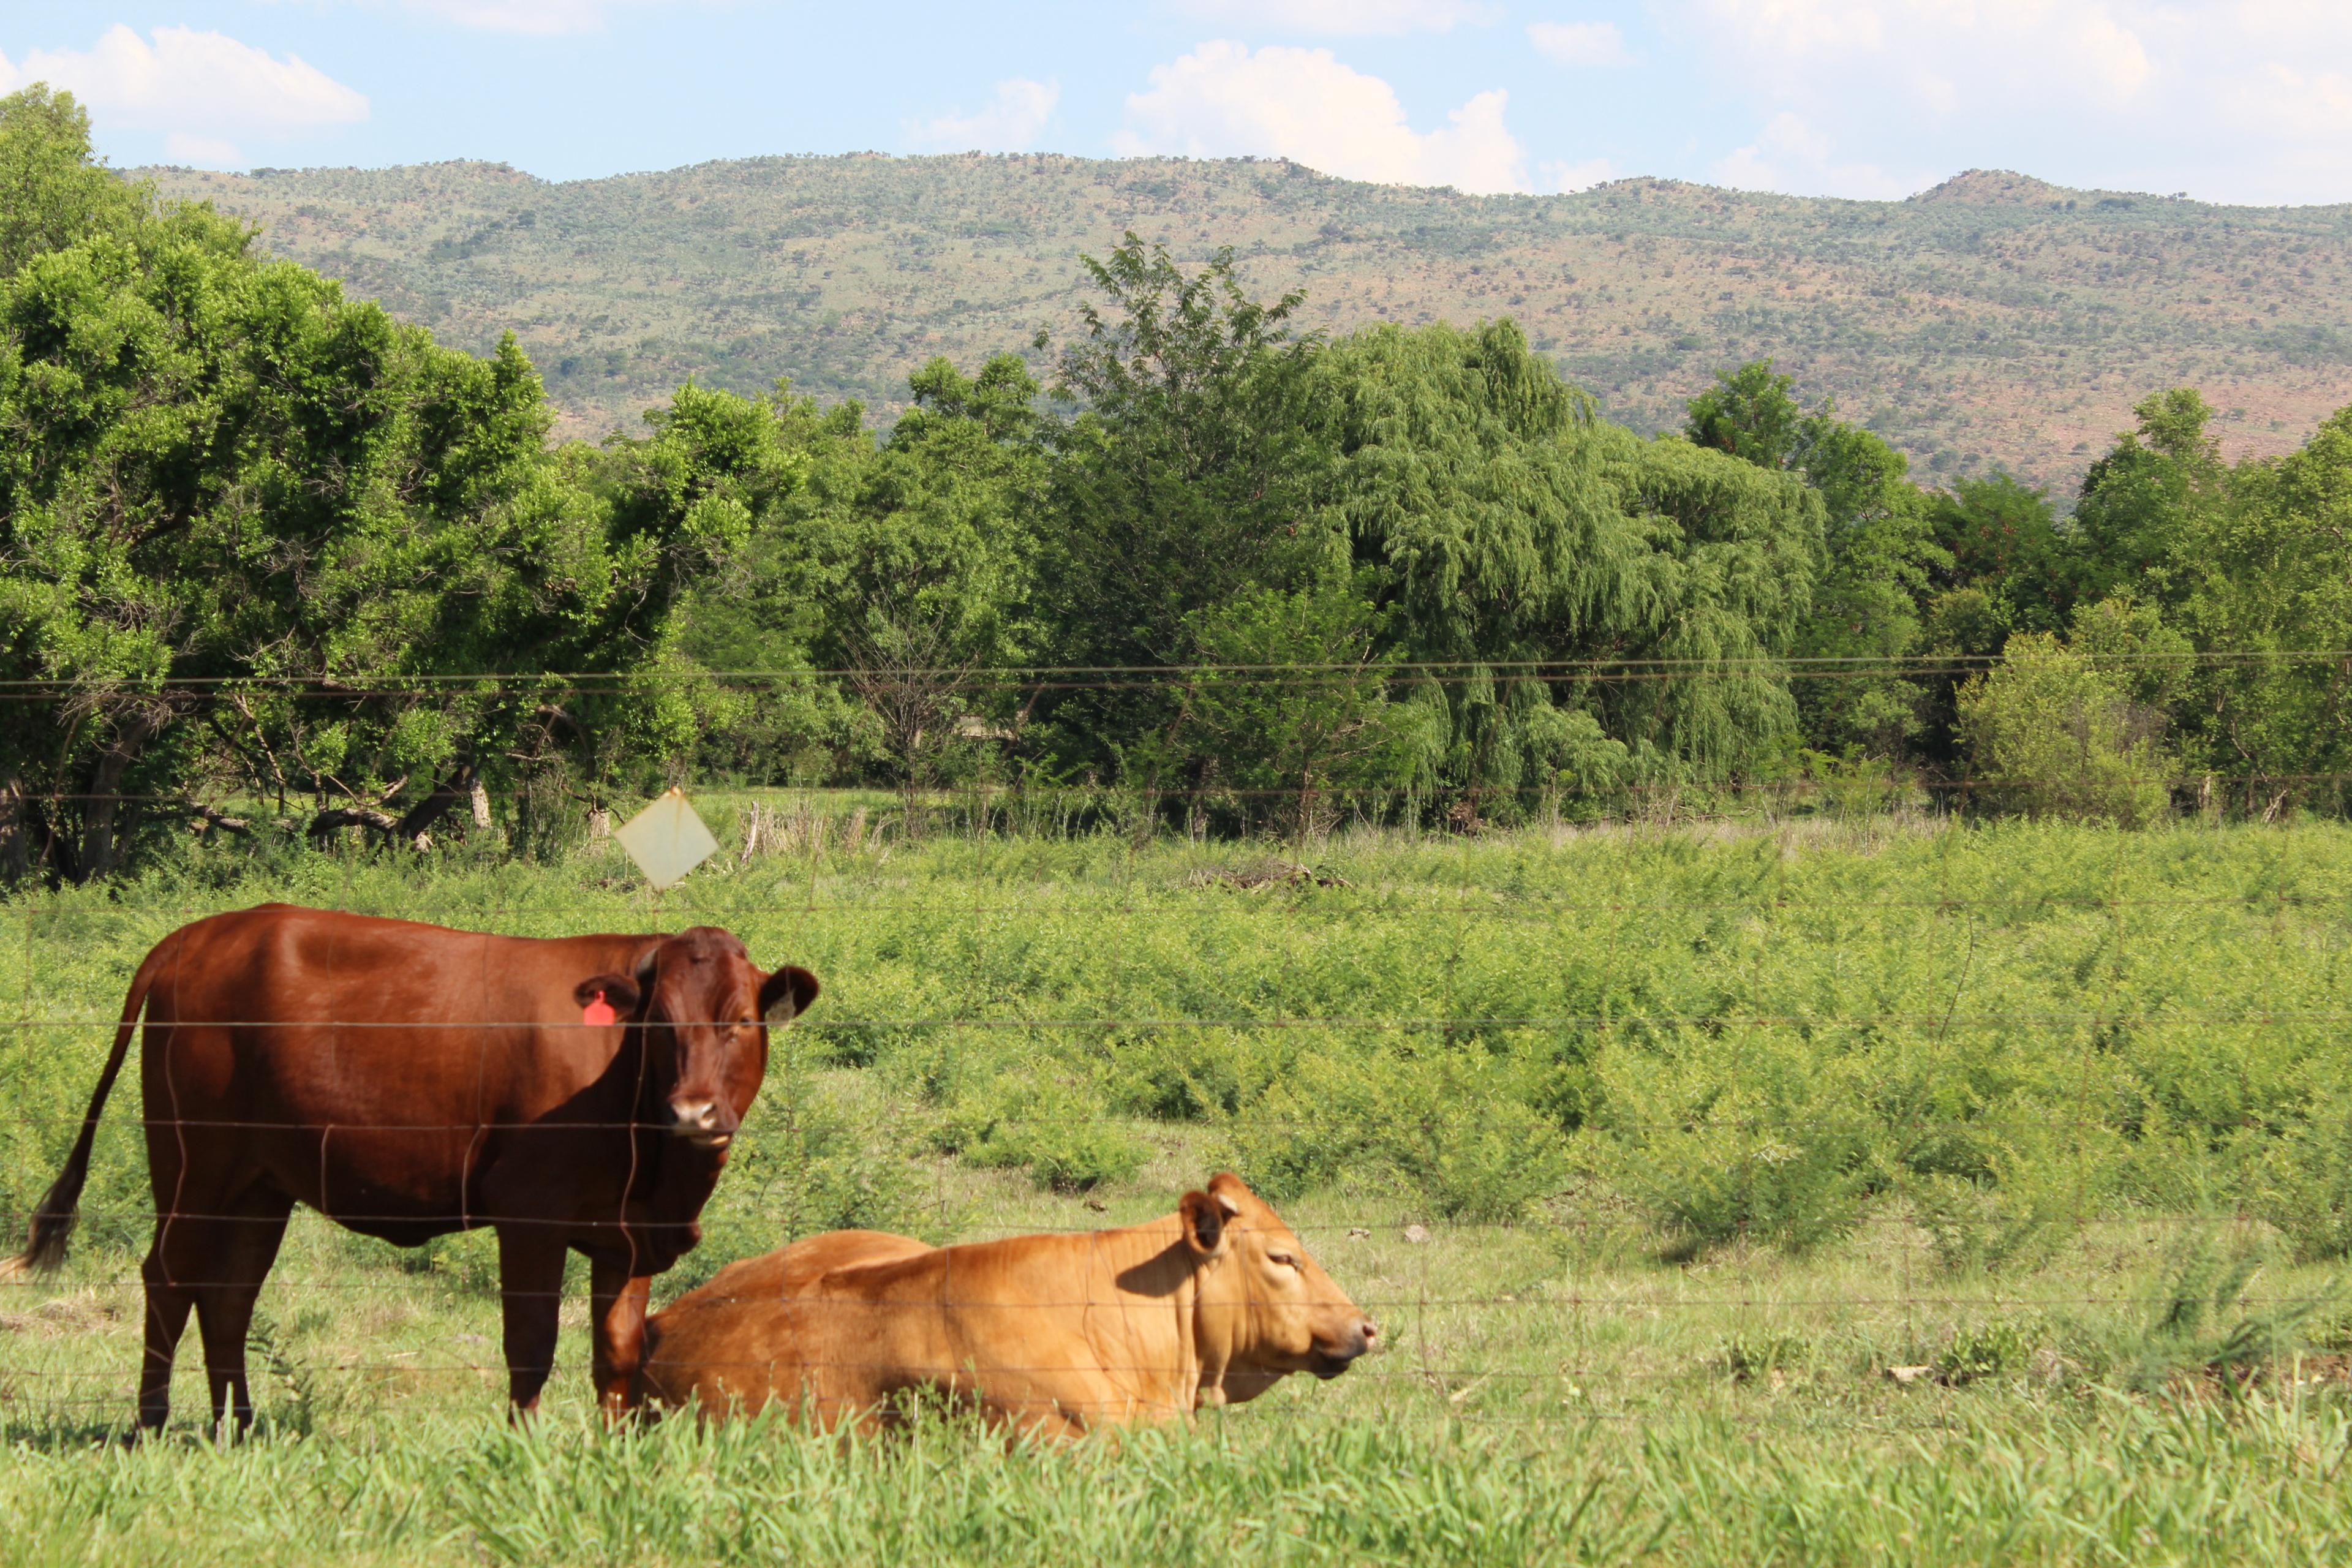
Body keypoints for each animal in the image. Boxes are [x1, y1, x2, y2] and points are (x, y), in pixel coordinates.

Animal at [3, 903, 818, 1432]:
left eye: (739, 1019)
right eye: (661, 1023)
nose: (694, 1112)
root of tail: (196, 935)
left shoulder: (627, 1232)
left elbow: (616, 1351)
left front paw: (611, 1453)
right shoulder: (530, 1214)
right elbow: (531, 1347)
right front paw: (526, 1452)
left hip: (259, 1186)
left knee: (228, 1297)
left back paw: (237, 1427)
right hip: (192, 1168)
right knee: (169, 1279)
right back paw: (151, 1424)